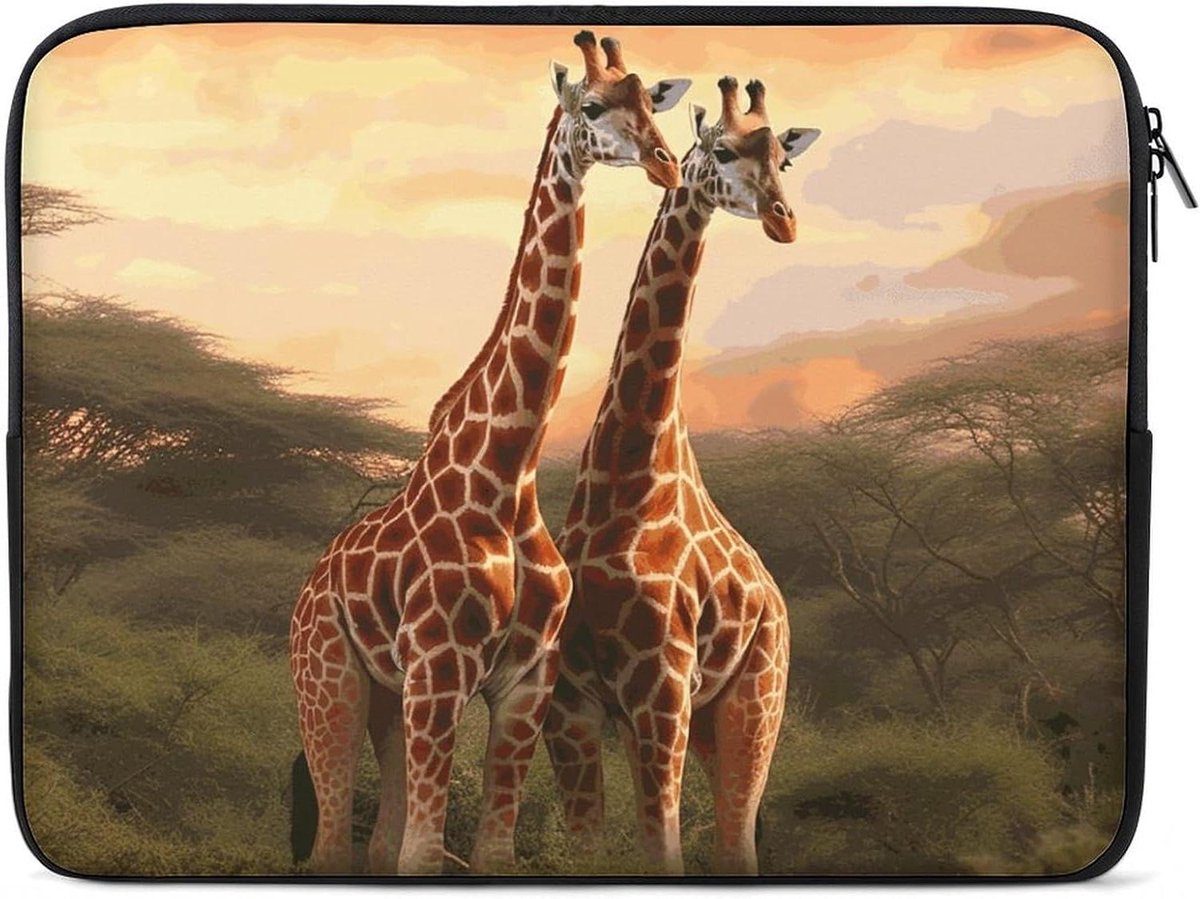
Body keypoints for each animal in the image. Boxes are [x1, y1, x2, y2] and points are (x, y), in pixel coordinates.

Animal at [288, 32, 690, 876]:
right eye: (592, 107)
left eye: (652, 103)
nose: (665, 162)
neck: (509, 470)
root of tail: (307, 586)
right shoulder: (441, 668)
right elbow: (421, 855)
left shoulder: (525, 682)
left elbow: (485, 852)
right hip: (330, 678)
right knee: (334, 839)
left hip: (387, 696)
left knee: (374, 839)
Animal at [542, 76, 821, 875]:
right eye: (723, 152)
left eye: (784, 161)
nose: (784, 221)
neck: (625, 483)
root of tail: (778, 602)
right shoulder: (572, 701)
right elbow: (591, 844)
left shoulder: (661, 688)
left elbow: (662, 844)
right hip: (701, 722)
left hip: (754, 700)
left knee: (737, 835)